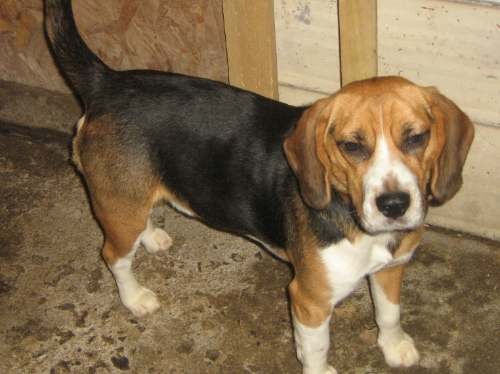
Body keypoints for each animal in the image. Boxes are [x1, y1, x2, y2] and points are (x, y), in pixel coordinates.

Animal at [46, 1, 472, 372]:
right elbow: (316, 350)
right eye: (351, 146)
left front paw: (395, 346)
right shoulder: (309, 301)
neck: (350, 216)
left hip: (129, 200)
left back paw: (151, 236)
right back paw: (135, 297)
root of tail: (108, 81)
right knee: (114, 255)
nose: (394, 204)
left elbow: (389, 313)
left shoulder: (392, 269)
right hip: (118, 207)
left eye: (417, 137)